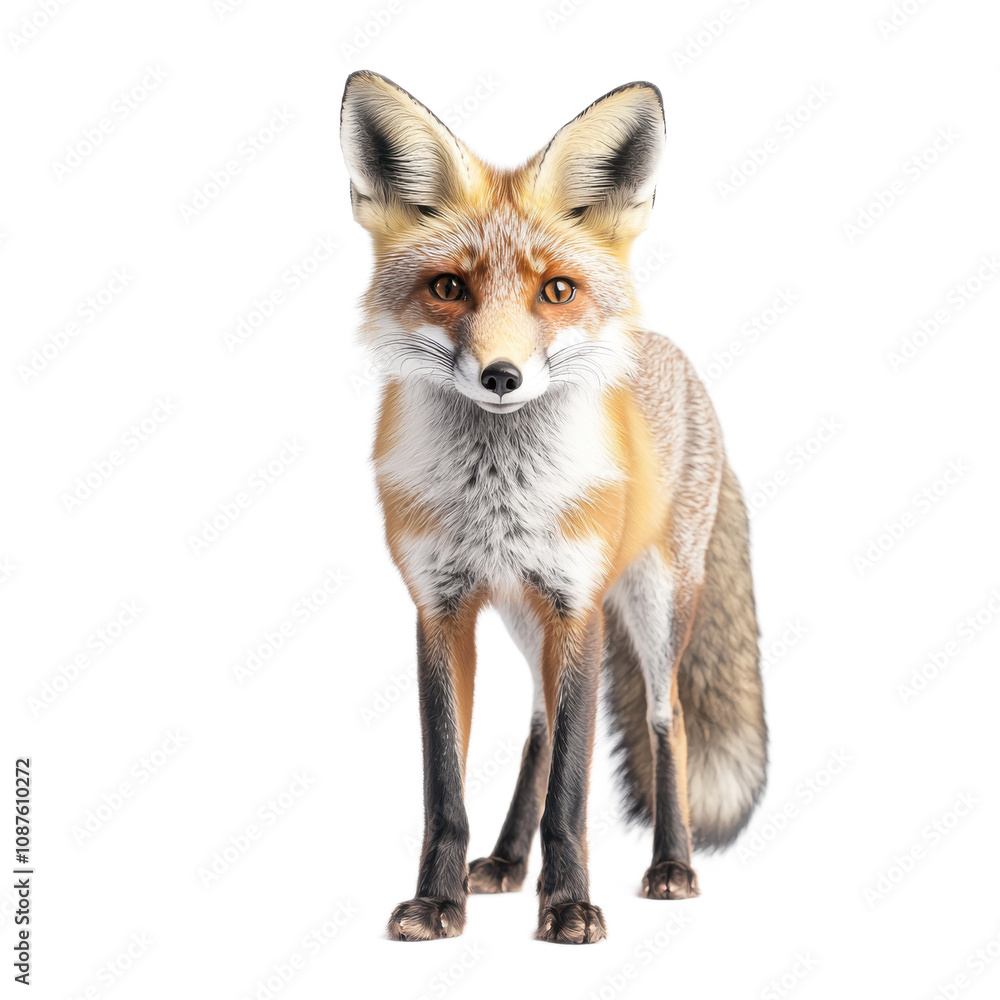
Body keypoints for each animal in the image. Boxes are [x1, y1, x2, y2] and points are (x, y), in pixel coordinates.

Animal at [339, 71, 767, 944]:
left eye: (557, 291)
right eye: (449, 288)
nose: (501, 375)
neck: (498, 495)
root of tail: (673, 358)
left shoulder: (579, 607)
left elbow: (572, 790)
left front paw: (569, 905)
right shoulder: (441, 609)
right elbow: (446, 789)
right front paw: (438, 903)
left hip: (654, 607)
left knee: (668, 721)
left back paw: (672, 866)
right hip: (522, 616)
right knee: (538, 727)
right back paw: (508, 860)